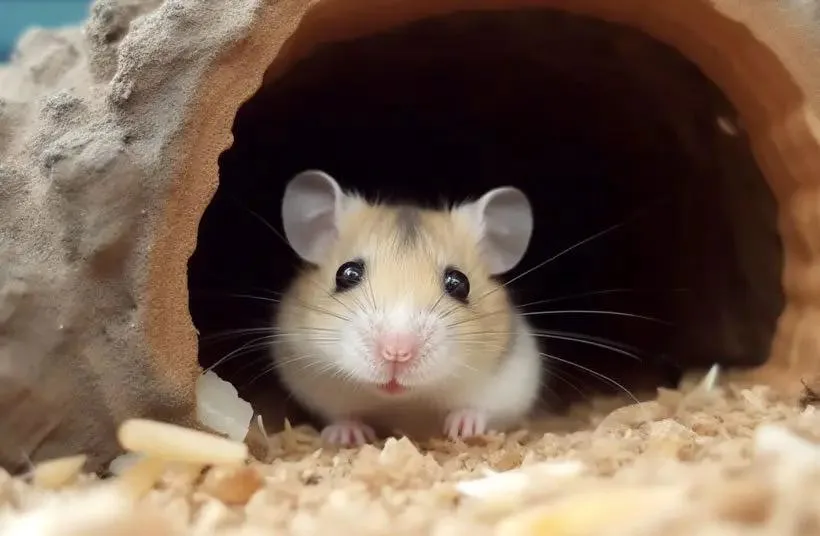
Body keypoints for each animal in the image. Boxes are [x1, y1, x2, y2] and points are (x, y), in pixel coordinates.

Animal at [273, 170, 544, 446]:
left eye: (459, 284)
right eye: (346, 274)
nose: (397, 352)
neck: (405, 401)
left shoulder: (515, 381)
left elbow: (480, 409)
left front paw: (462, 428)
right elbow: (340, 415)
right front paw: (348, 436)